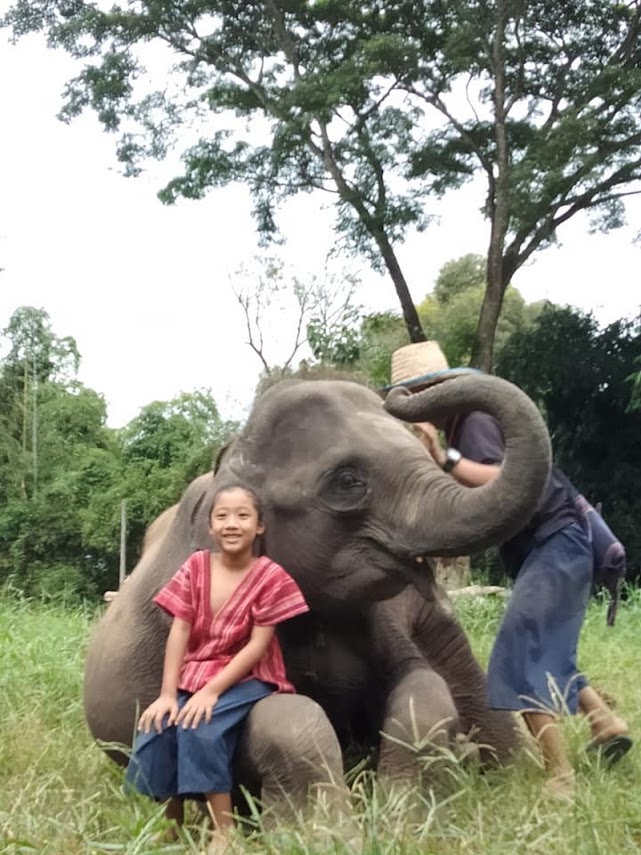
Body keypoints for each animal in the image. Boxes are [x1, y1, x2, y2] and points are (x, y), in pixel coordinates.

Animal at [84, 374, 552, 816]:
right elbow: (269, 716)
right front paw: (327, 830)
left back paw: (514, 778)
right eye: (347, 481)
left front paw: (404, 815)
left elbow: (421, 685)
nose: (399, 393)